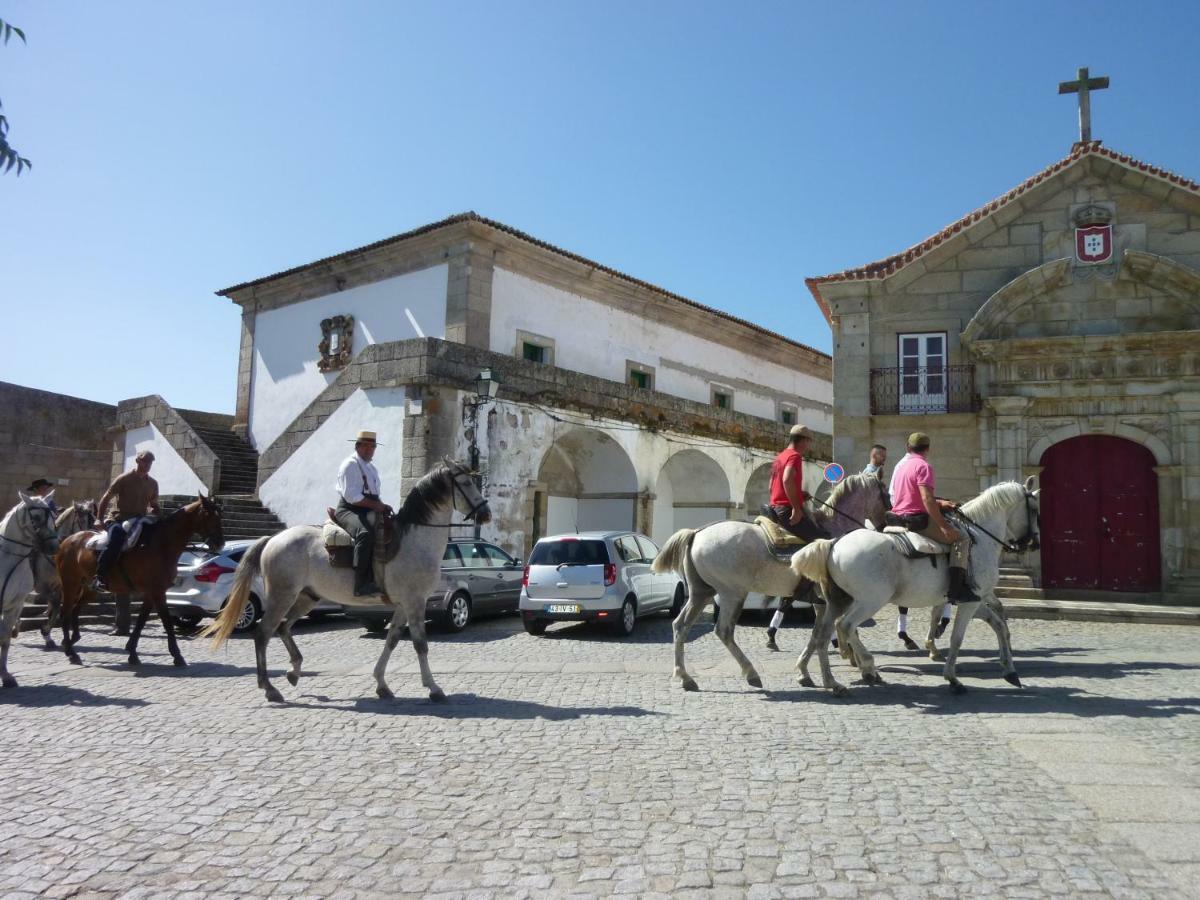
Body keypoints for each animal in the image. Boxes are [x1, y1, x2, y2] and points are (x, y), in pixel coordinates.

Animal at [55, 496, 223, 667]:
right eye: (209, 515)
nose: (220, 543)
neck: (161, 544)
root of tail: (68, 540)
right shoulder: (157, 591)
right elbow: (166, 621)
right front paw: (177, 655)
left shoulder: (151, 592)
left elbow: (141, 621)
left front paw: (132, 652)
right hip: (70, 584)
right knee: (65, 613)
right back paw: (71, 652)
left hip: (89, 588)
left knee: (75, 609)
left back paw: (72, 640)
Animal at [204, 460, 489, 710]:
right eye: (466, 482)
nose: (486, 514)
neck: (414, 540)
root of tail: (273, 539)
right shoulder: (415, 602)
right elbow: (420, 644)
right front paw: (434, 688)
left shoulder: (402, 605)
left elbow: (392, 640)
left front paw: (382, 684)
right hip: (281, 597)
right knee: (263, 634)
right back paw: (270, 688)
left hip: (306, 598)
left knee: (284, 628)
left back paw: (294, 671)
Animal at [652, 475, 897, 696]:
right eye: (886, 496)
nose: (887, 524)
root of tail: (696, 533)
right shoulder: (835, 601)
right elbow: (836, 631)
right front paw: (860, 669)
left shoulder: (821, 603)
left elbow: (816, 636)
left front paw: (804, 672)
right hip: (732, 593)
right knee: (723, 630)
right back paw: (751, 673)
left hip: (701, 593)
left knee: (680, 625)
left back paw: (684, 676)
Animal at [792, 480, 1036, 696]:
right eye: (1034, 509)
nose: (1033, 543)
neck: (979, 538)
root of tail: (834, 544)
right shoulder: (970, 602)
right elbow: (957, 638)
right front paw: (952, 678)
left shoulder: (974, 600)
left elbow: (999, 626)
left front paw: (1010, 671)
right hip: (869, 602)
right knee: (845, 626)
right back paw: (866, 666)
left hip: (837, 602)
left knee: (823, 635)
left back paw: (831, 681)